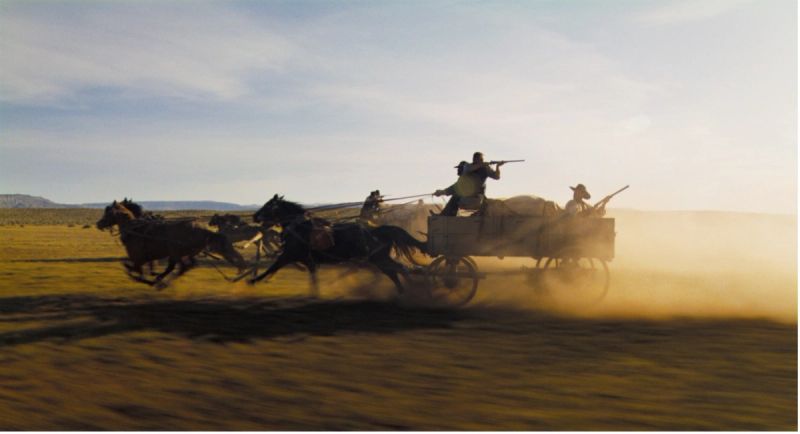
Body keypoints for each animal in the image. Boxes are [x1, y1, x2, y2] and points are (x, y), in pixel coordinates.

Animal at [96, 200, 248, 288]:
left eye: (108, 212)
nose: (98, 224)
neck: (135, 229)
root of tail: (202, 229)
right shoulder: (143, 259)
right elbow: (137, 269)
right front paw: (151, 277)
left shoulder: (138, 258)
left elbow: (132, 269)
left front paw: (148, 279)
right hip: (184, 252)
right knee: (185, 266)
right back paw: (162, 280)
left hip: (175, 251)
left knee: (177, 266)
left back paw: (160, 280)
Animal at [250, 194, 427, 296]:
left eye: (268, 205)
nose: (254, 216)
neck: (299, 227)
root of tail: (377, 230)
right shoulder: (307, 261)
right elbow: (312, 278)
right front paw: (315, 294)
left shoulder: (289, 255)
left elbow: (272, 267)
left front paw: (253, 281)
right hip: (378, 259)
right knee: (397, 270)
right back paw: (406, 291)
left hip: (378, 259)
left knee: (398, 269)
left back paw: (410, 290)